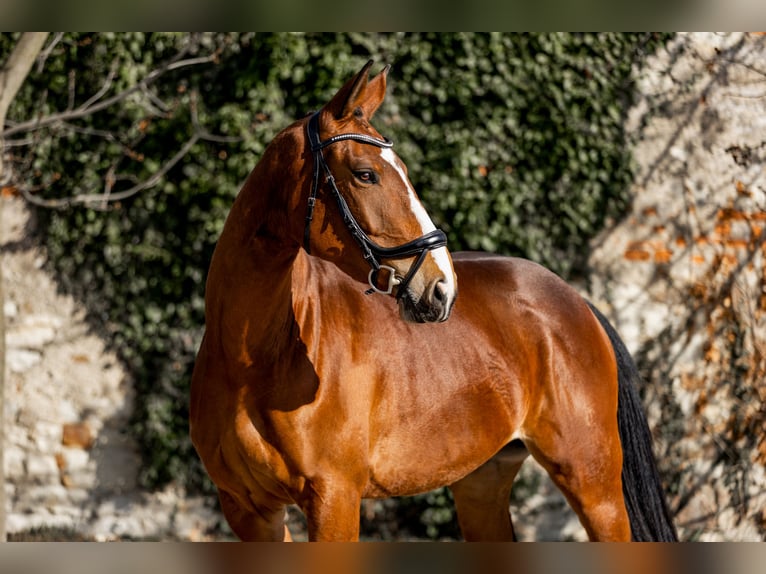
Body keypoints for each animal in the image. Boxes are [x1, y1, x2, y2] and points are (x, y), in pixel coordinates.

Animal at [189, 60, 677, 542]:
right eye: (365, 174)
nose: (441, 287)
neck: (254, 362)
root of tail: (576, 302)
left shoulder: (334, 498)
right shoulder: (250, 512)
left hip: (593, 484)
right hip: (483, 483)